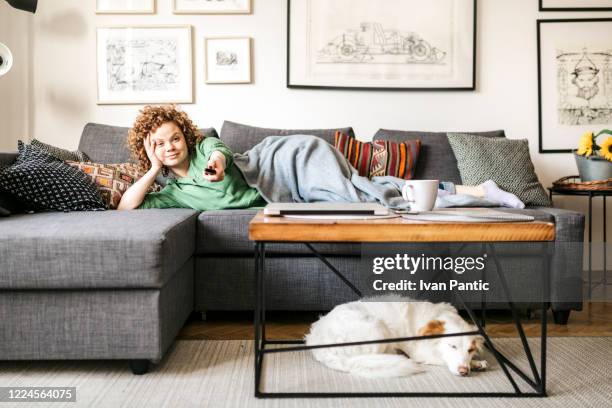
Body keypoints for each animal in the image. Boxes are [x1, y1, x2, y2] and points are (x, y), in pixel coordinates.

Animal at [306, 294, 488, 378]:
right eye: (452, 346)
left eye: (471, 350)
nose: (464, 371)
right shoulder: (421, 352)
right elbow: (440, 359)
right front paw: (475, 364)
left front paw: (476, 363)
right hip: (376, 328)